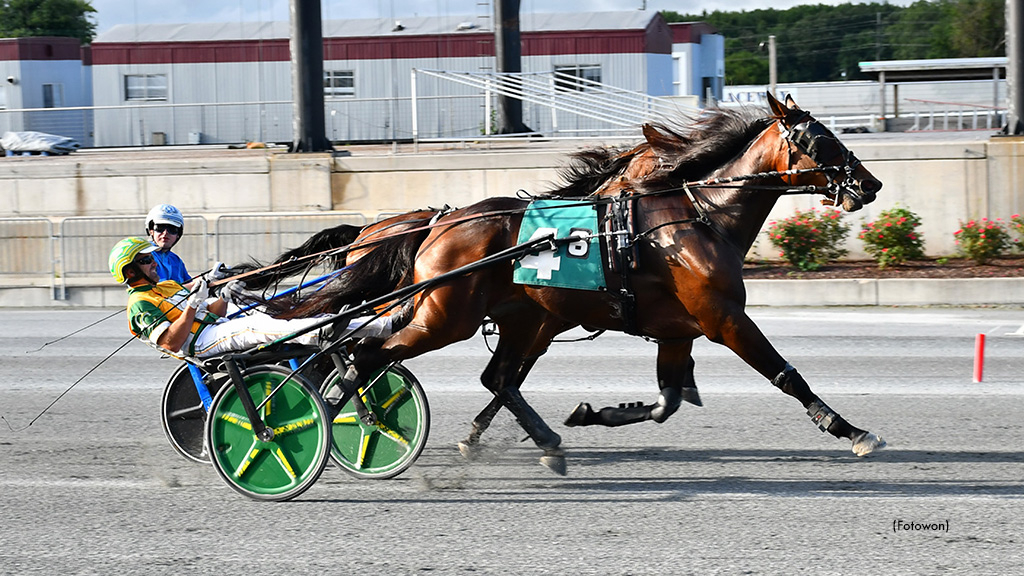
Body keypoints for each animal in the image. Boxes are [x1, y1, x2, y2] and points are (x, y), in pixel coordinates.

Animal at [260, 93, 884, 471]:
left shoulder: (678, 328)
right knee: (364, 351)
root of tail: (438, 224)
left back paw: (542, 442)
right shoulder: (724, 317)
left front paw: (593, 414)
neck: (697, 216)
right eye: (822, 140)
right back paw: (346, 415)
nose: (870, 183)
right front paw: (851, 429)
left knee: (488, 375)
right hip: (446, 316)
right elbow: (784, 374)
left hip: (514, 316)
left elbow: (667, 401)